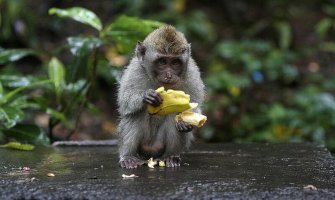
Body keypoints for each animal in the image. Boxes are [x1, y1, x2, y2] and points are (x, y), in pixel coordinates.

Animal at [118, 25, 205, 169]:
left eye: (175, 62)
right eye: (162, 62)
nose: (169, 75)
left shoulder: (192, 73)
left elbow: (196, 103)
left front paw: (186, 122)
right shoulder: (135, 69)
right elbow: (124, 101)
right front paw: (147, 96)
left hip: (160, 146)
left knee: (173, 113)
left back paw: (170, 156)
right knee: (136, 113)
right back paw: (128, 157)